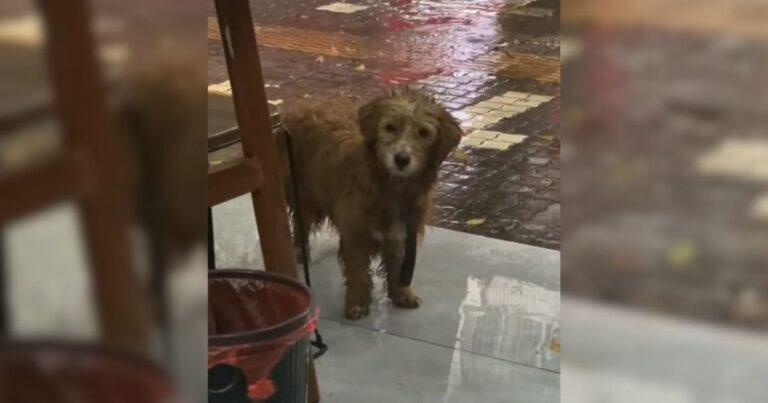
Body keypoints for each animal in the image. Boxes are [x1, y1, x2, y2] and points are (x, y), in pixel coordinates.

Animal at [280, 87, 462, 318]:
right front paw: (357, 302)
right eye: (390, 127)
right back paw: (299, 250)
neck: (391, 187)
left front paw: (401, 294)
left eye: (423, 132)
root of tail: (303, 103)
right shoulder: (355, 232)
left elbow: (398, 267)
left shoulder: (402, 232)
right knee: (300, 222)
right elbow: (357, 271)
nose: (401, 159)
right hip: (303, 193)